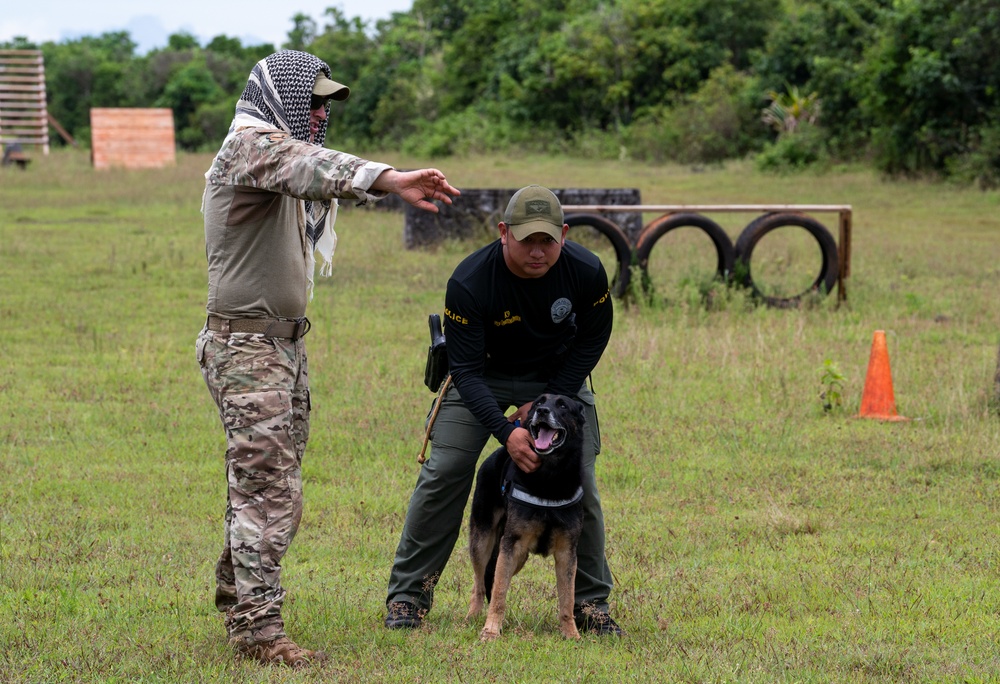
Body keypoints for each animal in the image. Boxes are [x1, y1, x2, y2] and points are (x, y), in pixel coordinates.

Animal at [466, 392, 584, 640]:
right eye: (539, 402)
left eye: (563, 406)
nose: (542, 411)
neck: (549, 478)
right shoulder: (512, 545)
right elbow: (499, 594)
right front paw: (491, 631)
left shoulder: (566, 553)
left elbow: (567, 600)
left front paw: (571, 634)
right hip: (484, 542)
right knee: (480, 583)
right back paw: (473, 616)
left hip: (515, 556)